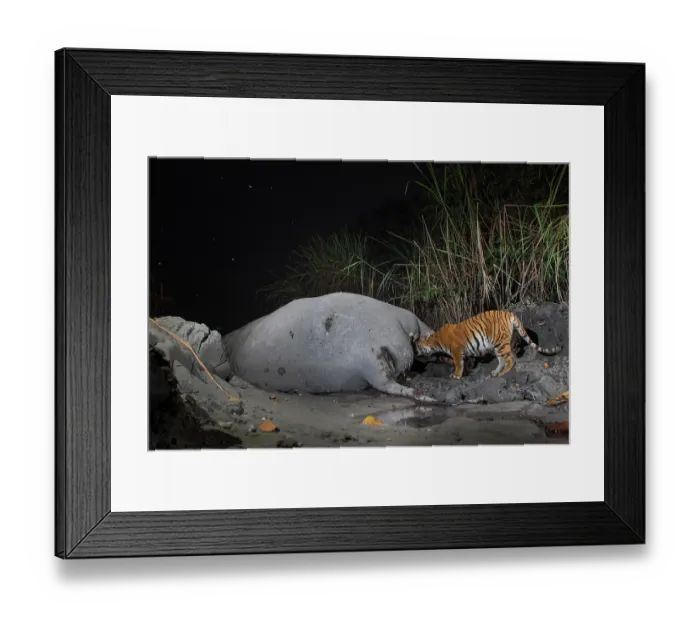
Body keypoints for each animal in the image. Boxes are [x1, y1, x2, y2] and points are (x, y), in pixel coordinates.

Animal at [414, 310, 562, 379]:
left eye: (417, 346)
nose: (414, 353)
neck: (435, 340)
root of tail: (508, 313)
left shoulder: (456, 350)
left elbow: (458, 364)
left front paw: (456, 375)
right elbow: (466, 362)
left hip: (500, 342)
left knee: (510, 358)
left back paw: (503, 373)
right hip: (497, 345)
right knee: (502, 360)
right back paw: (495, 372)